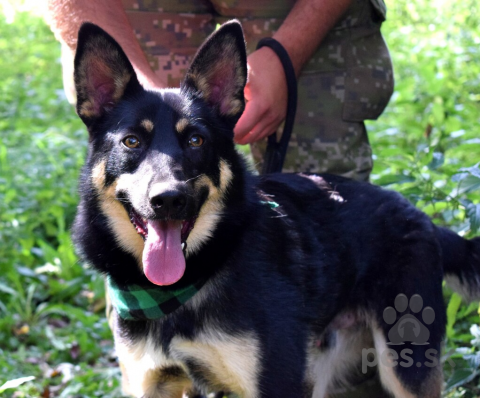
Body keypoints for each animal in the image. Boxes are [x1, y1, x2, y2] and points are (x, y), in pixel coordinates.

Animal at [72, 21, 480, 398]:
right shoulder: (152, 383)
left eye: (196, 140)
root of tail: (421, 217)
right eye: (132, 141)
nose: (169, 199)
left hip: (403, 365)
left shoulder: (277, 382)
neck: (178, 291)